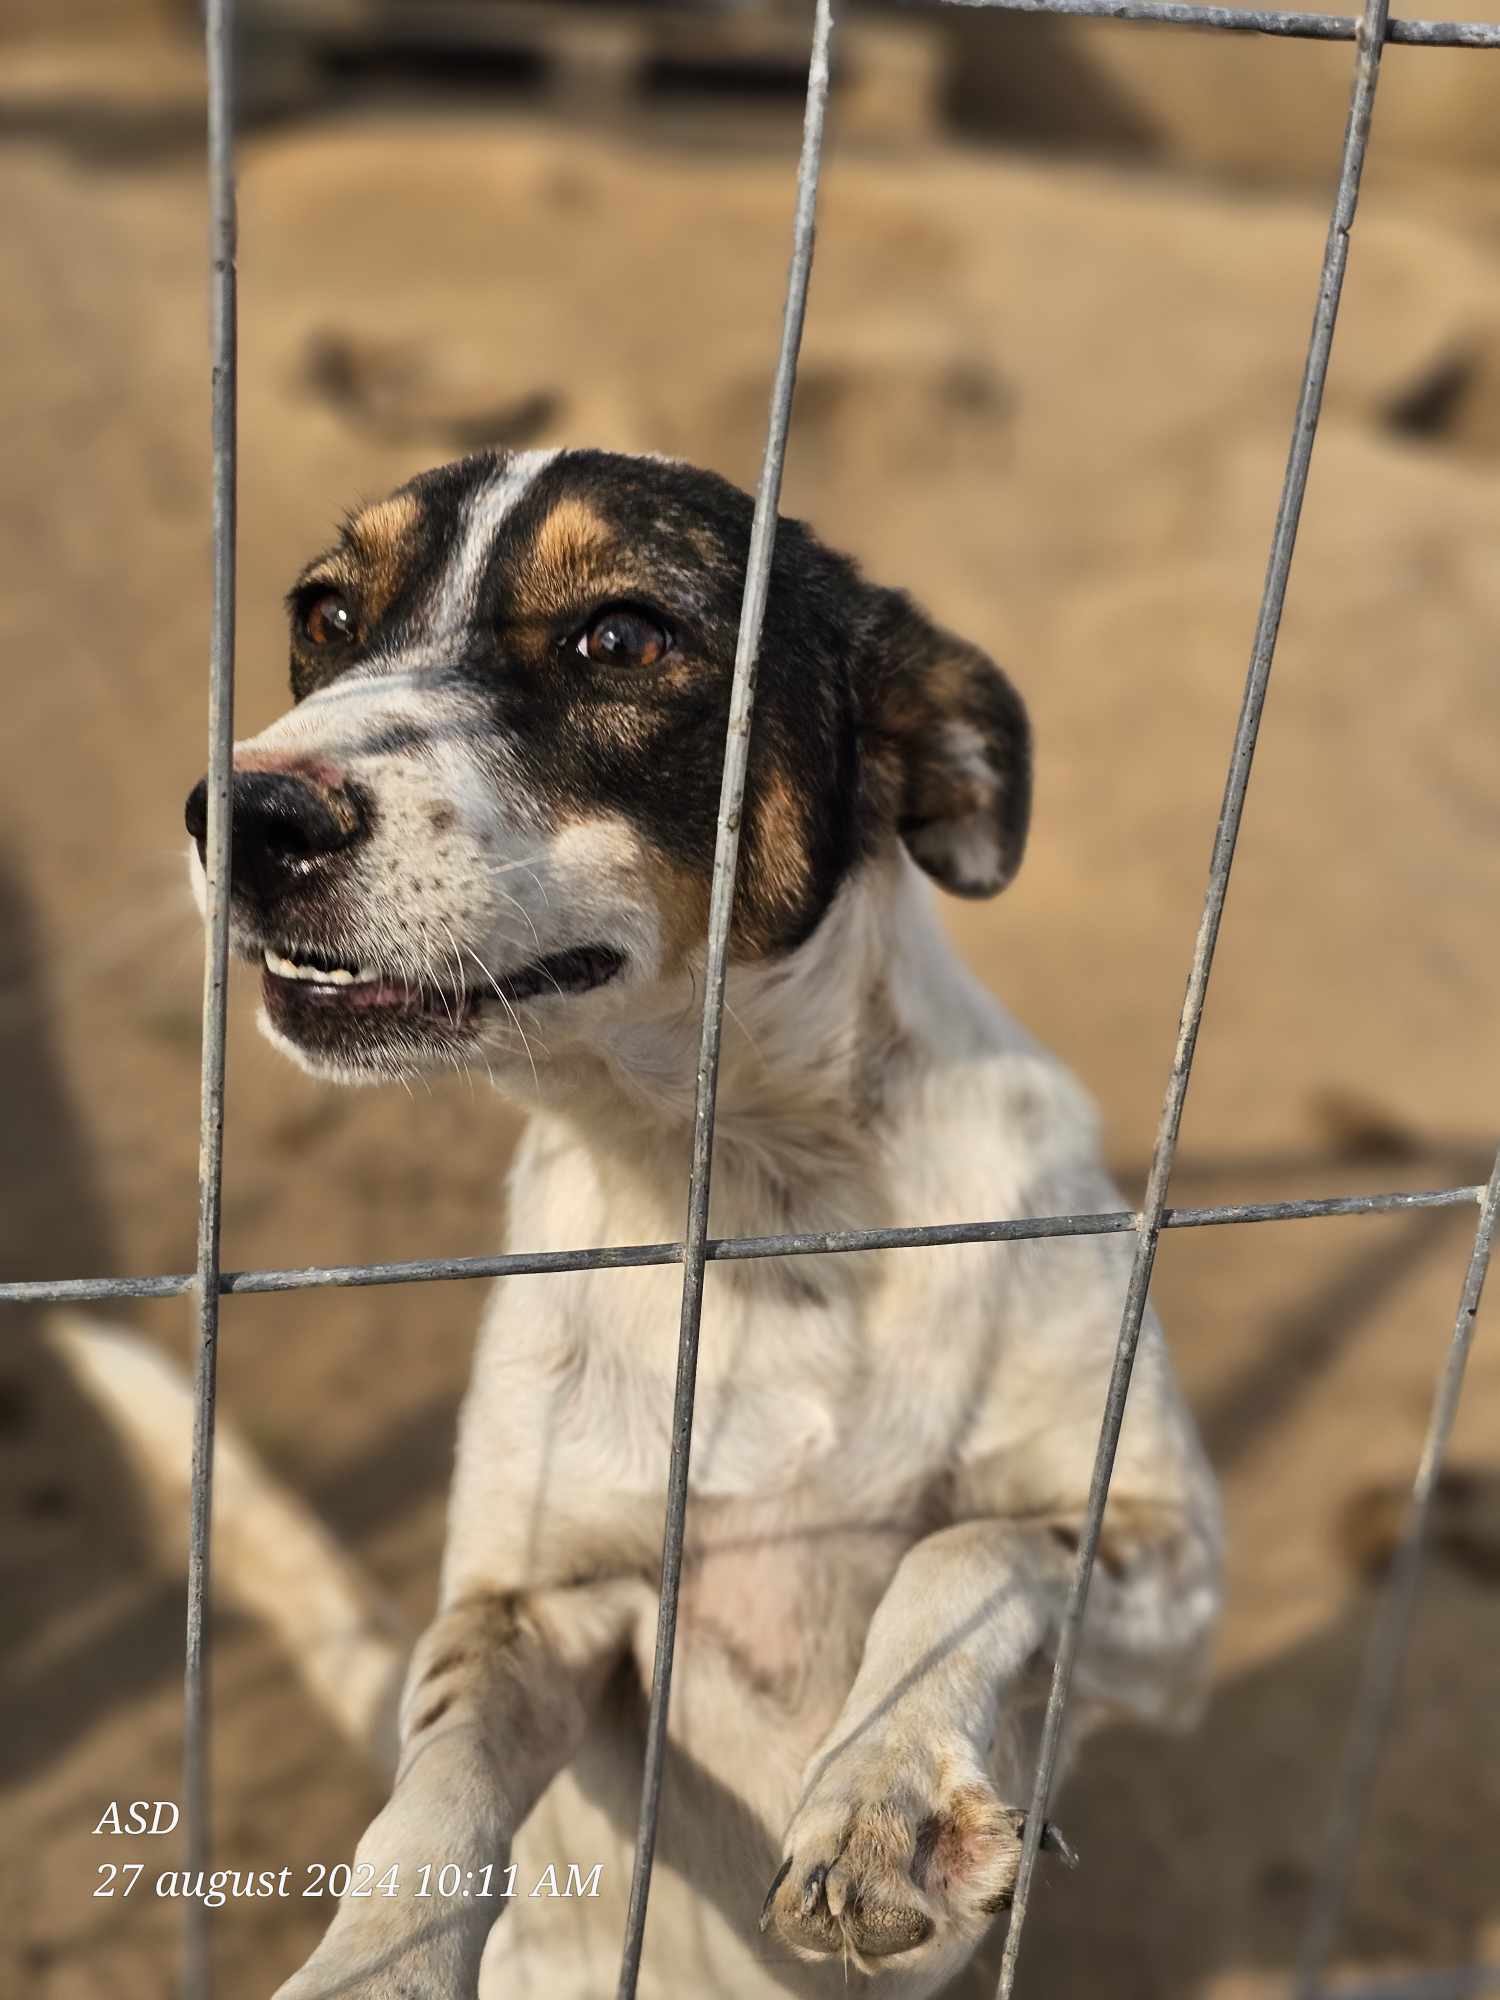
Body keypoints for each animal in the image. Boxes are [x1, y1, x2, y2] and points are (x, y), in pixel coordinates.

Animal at [183, 447, 1222, 1999]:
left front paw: (882, 1793)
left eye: (622, 637)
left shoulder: (1166, 1557)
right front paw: (371, 1967)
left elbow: (968, 1547)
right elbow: (430, 1804)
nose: (243, 815)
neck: (752, 1202)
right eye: (324, 614)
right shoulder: (535, 1605)